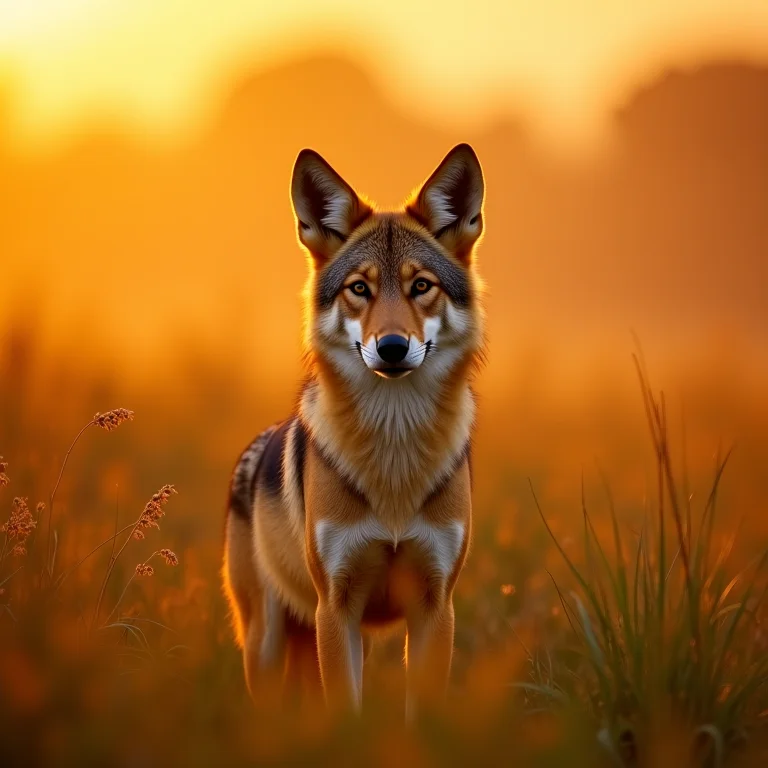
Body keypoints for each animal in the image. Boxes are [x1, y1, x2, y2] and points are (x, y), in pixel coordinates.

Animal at [222, 143, 486, 719]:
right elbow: (347, 713)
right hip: (268, 645)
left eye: (420, 286)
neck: (393, 458)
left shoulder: (436, 606)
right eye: (359, 289)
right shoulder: (335, 606)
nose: (391, 347)